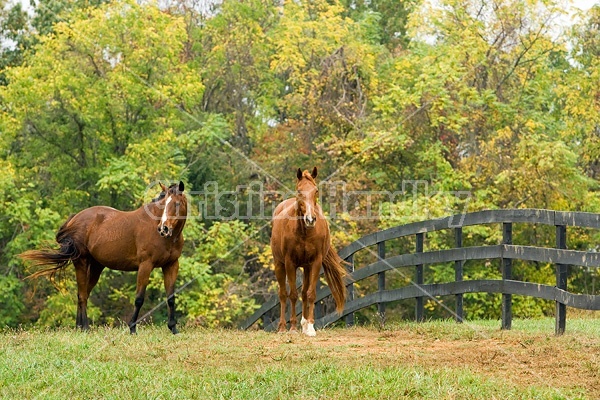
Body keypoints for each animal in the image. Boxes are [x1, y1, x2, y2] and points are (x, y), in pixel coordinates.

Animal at [21, 182, 186, 334]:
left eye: (177, 204)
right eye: (163, 205)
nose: (163, 228)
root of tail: (75, 218)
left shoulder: (171, 265)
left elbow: (171, 297)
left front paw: (173, 328)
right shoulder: (146, 265)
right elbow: (139, 299)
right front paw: (132, 328)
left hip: (96, 267)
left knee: (83, 294)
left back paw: (79, 327)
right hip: (81, 262)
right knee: (82, 295)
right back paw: (85, 327)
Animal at [270, 167, 350, 336]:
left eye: (316, 191)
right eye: (299, 191)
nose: (310, 219)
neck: (304, 232)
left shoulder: (315, 263)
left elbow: (310, 294)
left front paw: (310, 327)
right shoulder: (290, 263)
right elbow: (292, 295)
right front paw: (293, 328)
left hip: (306, 268)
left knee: (304, 293)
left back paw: (304, 324)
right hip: (279, 264)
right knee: (283, 294)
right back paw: (282, 327)